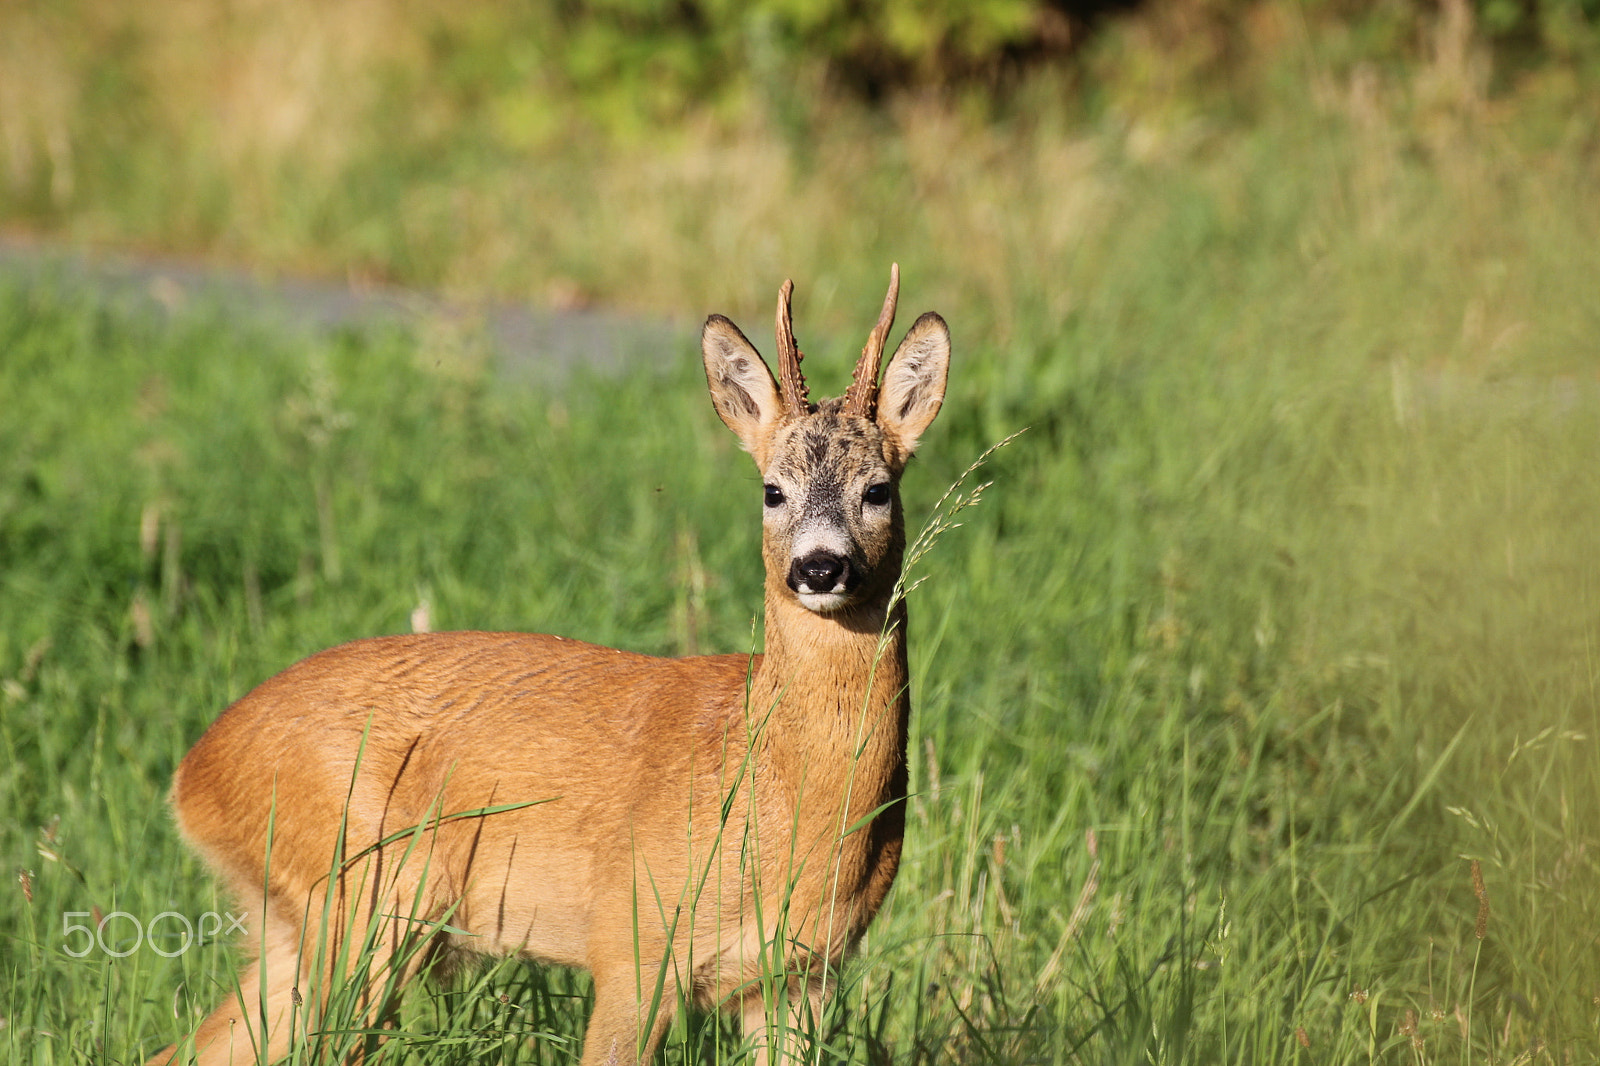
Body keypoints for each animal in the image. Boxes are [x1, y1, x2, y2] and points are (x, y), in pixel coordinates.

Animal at [146, 265, 950, 1066]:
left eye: (878, 490)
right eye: (772, 490)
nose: (819, 567)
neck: (778, 795)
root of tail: (194, 773)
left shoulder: (801, 975)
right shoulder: (633, 940)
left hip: (306, 926)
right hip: (362, 902)